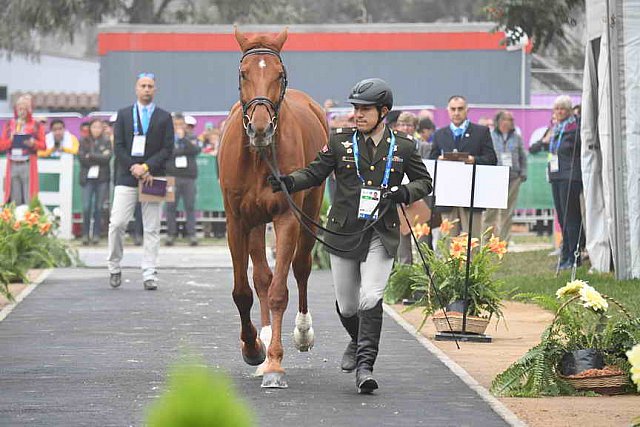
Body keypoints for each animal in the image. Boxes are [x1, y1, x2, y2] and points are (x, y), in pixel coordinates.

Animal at [220, 28, 330, 390]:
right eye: (243, 73)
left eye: (279, 74)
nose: (260, 127)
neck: (259, 157)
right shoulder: (236, 221)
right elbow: (243, 291)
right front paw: (254, 348)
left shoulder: (286, 218)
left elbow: (282, 290)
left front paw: (275, 364)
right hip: (256, 222)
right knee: (261, 278)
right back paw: (265, 336)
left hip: (311, 207)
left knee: (301, 267)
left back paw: (301, 333)